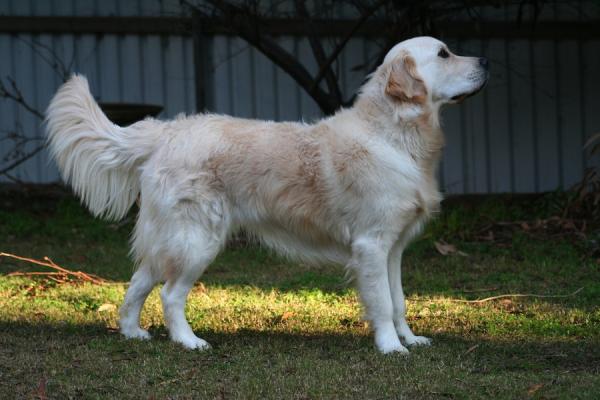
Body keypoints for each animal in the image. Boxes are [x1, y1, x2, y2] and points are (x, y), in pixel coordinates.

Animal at [47, 36, 488, 354]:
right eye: (444, 53)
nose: (486, 63)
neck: (393, 134)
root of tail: (167, 131)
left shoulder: (393, 247)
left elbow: (398, 301)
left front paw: (409, 339)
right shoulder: (371, 244)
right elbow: (381, 302)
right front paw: (391, 348)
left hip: (170, 237)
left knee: (139, 281)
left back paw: (132, 332)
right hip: (197, 239)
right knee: (171, 295)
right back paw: (190, 342)